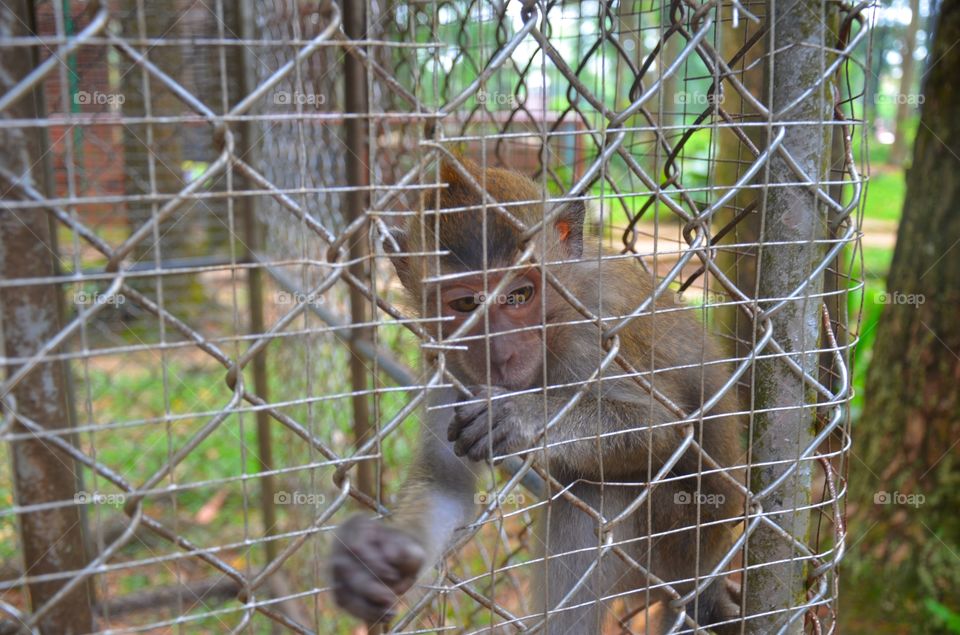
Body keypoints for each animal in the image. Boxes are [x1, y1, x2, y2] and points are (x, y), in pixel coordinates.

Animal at [329, 158, 745, 634]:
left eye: (519, 294)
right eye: (465, 304)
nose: (501, 351)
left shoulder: (596, 333)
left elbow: (665, 426)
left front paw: (520, 416)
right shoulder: (448, 364)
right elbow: (444, 486)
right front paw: (373, 559)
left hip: (684, 539)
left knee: (596, 493)